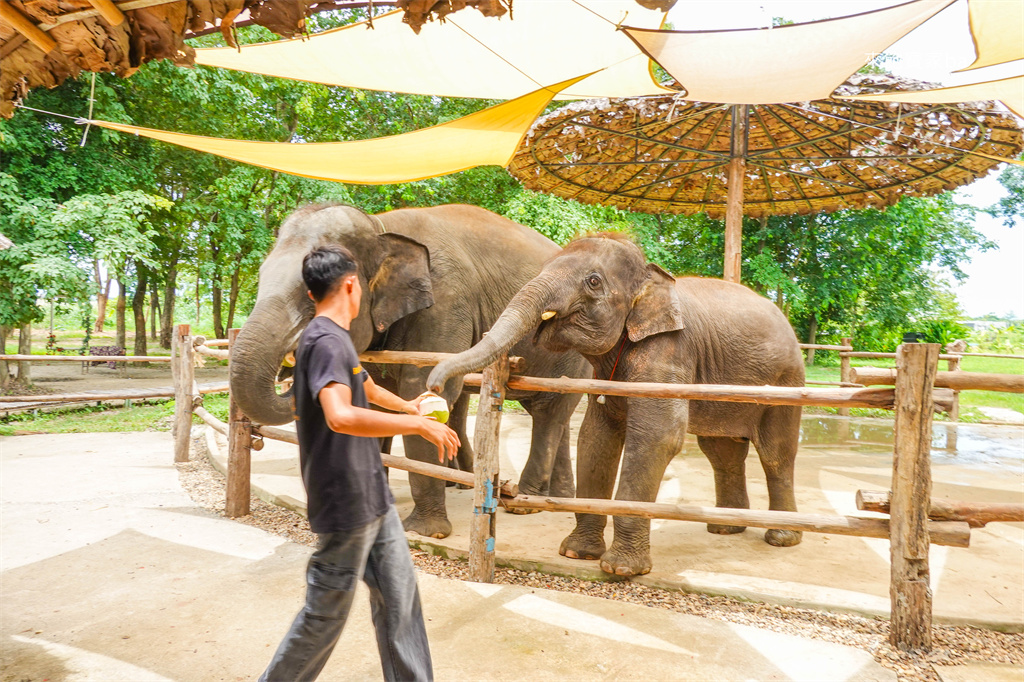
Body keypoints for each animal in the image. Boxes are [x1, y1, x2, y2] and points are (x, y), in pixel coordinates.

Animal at [229, 203, 590, 539]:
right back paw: (556, 497)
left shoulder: (446, 303)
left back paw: (525, 504)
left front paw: (426, 532)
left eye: (311, 296)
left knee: (549, 412)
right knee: (553, 414)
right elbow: (372, 399)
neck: (381, 225)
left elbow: (421, 391)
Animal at [427, 233, 805, 577]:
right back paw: (725, 529)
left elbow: (657, 438)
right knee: (721, 452)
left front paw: (621, 569)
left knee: (776, 453)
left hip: (787, 381)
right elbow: (596, 437)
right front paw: (577, 554)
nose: (433, 385)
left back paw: (781, 538)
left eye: (593, 281)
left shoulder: (669, 354)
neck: (651, 276)